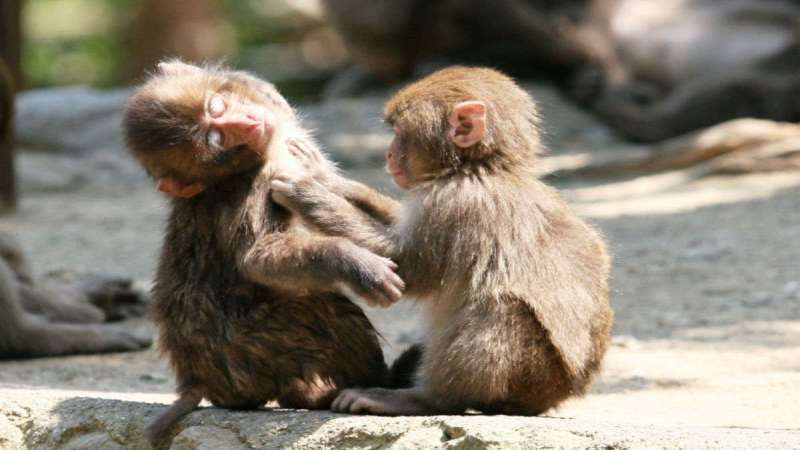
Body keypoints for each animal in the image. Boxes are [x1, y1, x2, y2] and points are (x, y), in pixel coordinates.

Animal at [122, 60, 410, 446]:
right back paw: (366, 385)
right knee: (322, 307)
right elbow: (257, 258)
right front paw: (355, 262)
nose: (248, 123)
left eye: (216, 107)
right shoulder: (256, 184)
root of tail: (198, 377)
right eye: (215, 139)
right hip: (253, 345)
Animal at [272, 66, 616, 414]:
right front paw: (328, 179)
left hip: (532, 373)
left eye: (398, 131)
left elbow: (406, 269)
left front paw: (307, 194)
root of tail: (559, 394)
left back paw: (426, 399)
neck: (477, 167)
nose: (388, 153)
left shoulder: (458, 204)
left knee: (499, 307)